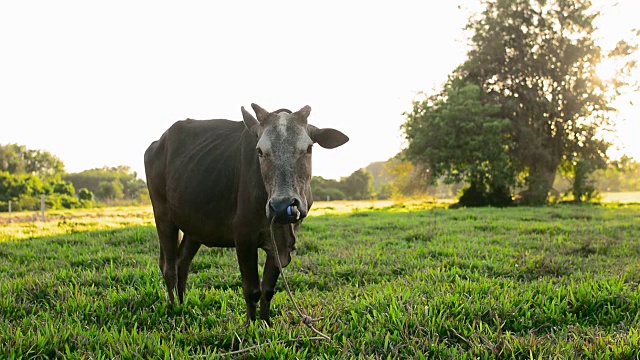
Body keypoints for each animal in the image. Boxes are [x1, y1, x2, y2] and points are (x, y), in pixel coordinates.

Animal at [144, 102, 350, 324]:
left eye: (309, 148)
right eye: (260, 151)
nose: (282, 206)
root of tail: (158, 143)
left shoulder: (281, 242)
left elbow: (267, 289)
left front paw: (266, 323)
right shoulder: (243, 237)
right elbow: (252, 290)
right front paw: (251, 326)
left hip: (194, 226)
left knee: (183, 263)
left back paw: (182, 305)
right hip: (163, 217)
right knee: (169, 267)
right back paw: (174, 309)